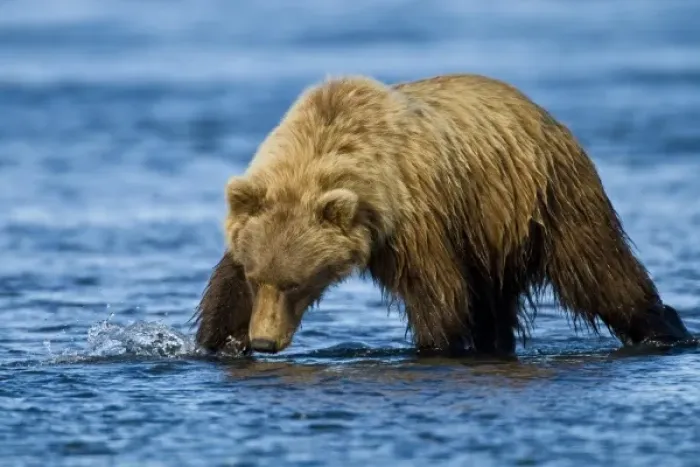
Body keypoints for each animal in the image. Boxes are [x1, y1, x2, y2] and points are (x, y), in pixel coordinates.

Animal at [192, 73, 694, 356]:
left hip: (548, 201)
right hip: (495, 234)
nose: (264, 341)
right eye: (259, 278)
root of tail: (544, 114)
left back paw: (665, 329)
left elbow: (438, 293)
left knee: (600, 273)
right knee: (497, 303)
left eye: (297, 283)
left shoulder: (416, 221)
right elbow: (225, 287)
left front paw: (436, 345)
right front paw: (217, 342)